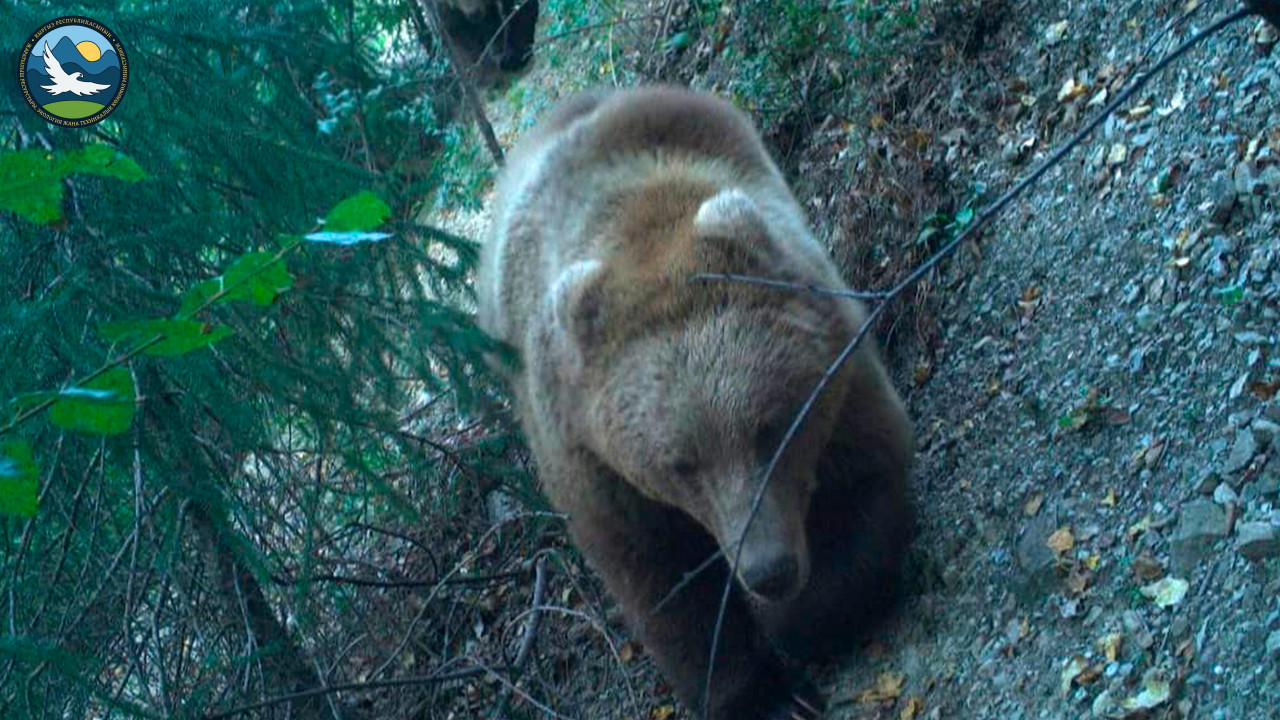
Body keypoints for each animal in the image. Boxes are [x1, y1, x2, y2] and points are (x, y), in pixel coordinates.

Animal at [477, 86, 913, 720]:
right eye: (681, 464)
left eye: (770, 427)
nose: (768, 569)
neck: (645, 228)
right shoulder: (591, 457)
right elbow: (662, 586)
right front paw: (764, 695)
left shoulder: (839, 363)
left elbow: (865, 483)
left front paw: (794, 620)